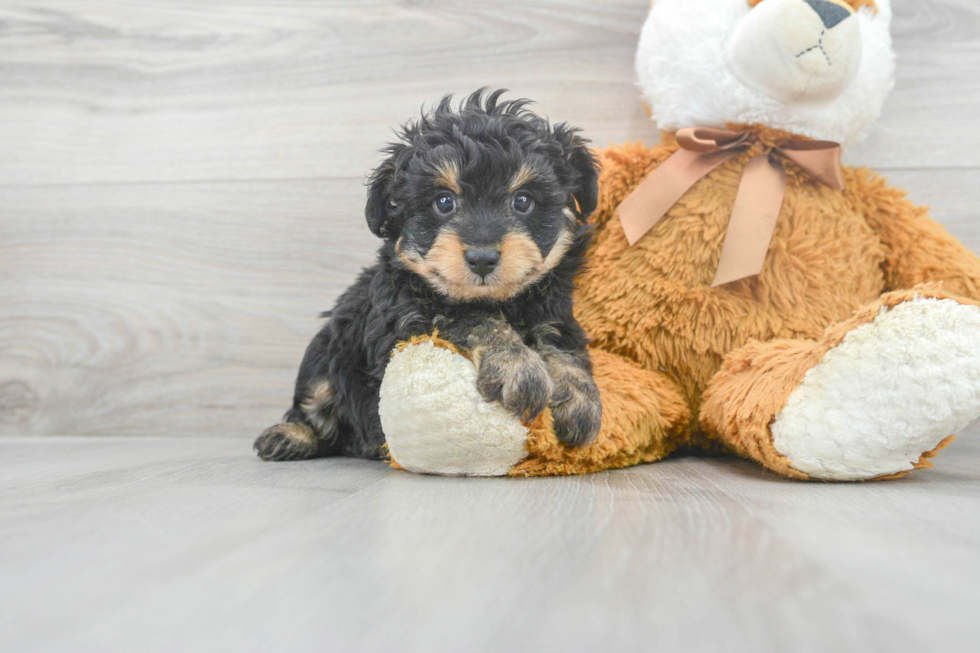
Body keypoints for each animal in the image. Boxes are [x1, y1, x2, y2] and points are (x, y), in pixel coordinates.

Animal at [253, 89, 600, 460]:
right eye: (444, 202)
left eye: (523, 201)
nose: (481, 258)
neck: (497, 300)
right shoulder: (404, 323)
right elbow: (471, 320)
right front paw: (517, 365)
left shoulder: (557, 314)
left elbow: (562, 346)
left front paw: (580, 398)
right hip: (326, 353)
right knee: (315, 400)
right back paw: (290, 435)